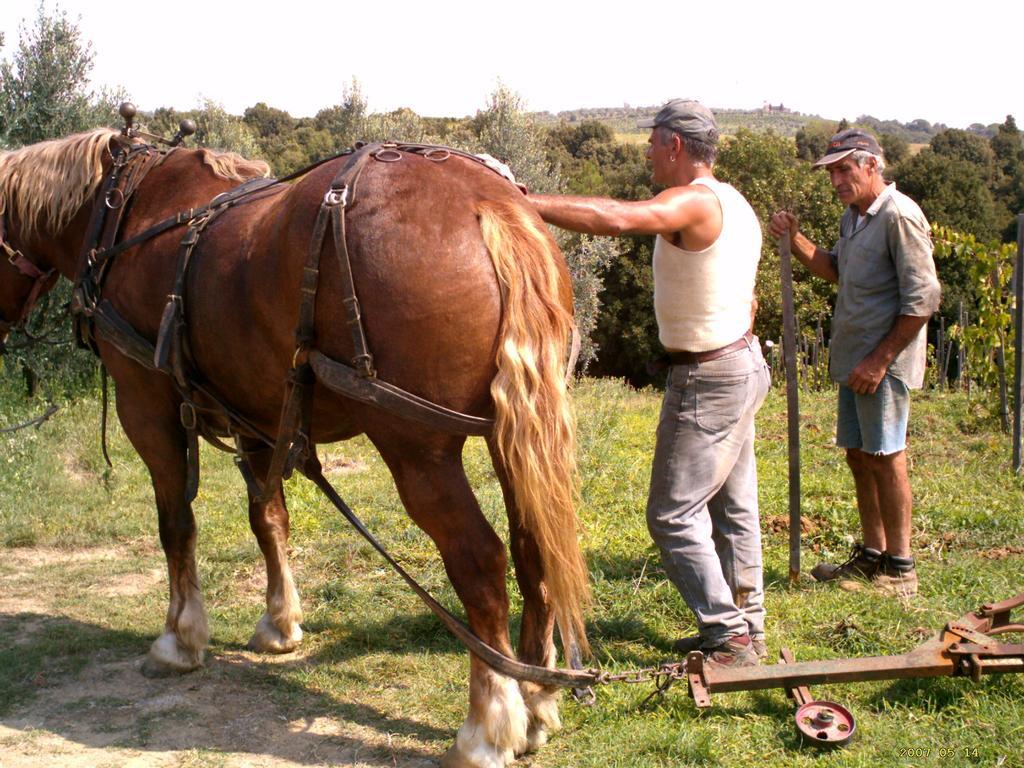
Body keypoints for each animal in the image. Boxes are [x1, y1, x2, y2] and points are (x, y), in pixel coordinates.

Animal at [0, 129, 593, 765]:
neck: (124, 214)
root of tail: (489, 204)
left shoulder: (147, 406)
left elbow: (175, 524)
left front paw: (179, 638)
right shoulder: (256, 415)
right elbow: (268, 518)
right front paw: (279, 622)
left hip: (417, 448)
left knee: (480, 560)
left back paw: (488, 725)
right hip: (512, 435)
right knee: (534, 548)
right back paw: (535, 701)